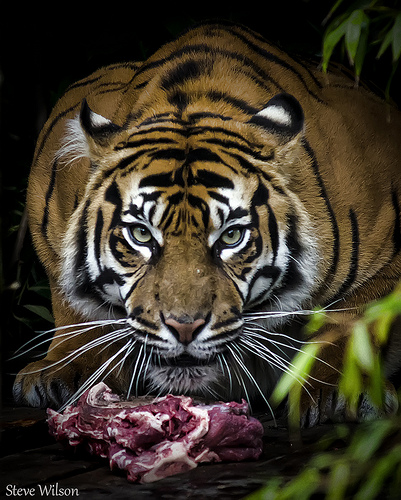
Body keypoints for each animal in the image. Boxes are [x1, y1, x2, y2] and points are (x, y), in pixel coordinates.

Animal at [14, 20, 400, 426]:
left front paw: (340, 392)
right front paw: (66, 369)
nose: (184, 327)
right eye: (140, 234)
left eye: (231, 236)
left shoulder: (387, 252)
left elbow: (355, 320)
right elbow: (75, 303)